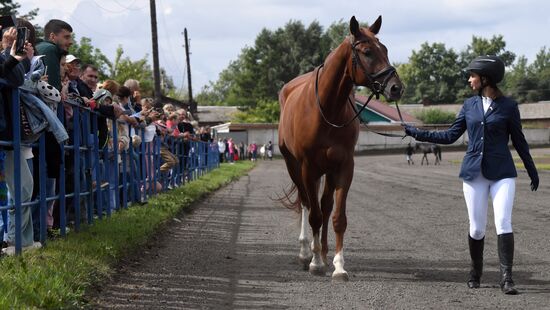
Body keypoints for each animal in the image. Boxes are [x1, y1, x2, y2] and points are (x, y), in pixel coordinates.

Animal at [280, 16, 406, 280]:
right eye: (367, 52)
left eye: (385, 49)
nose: (396, 88)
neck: (327, 110)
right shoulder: (308, 168)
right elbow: (314, 216)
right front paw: (316, 262)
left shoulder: (344, 166)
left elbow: (337, 217)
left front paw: (338, 265)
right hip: (294, 166)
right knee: (307, 204)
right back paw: (306, 252)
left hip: (327, 171)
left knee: (326, 206)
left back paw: (323, 251)